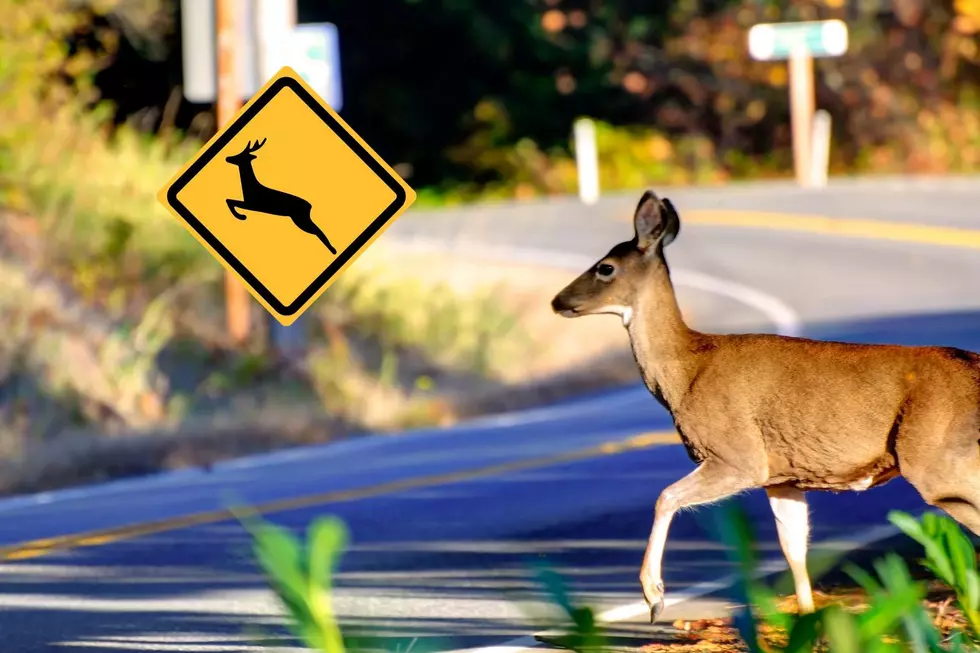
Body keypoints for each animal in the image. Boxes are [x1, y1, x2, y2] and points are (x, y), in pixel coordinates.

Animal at [551, 189, 980, 623]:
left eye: (605, 267)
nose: (557, 301)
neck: (687, 369)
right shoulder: (783, 476)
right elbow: (793, 548)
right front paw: (807, 619)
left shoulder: (737, 454)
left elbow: (665, 496)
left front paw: (654, 597)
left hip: (938, 460)